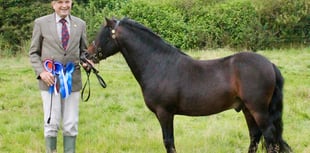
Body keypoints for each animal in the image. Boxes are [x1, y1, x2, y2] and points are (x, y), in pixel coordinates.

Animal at [86, 17, 290, 153]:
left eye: (102, 34)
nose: (86, 56)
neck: (158, 64)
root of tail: (270, 64)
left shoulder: (165, 113)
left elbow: (169, 142)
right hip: (248, 109)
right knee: (255, 137)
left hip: (258, 110)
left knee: (270, 138)